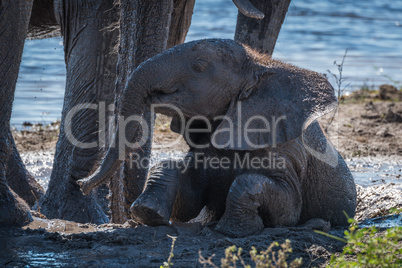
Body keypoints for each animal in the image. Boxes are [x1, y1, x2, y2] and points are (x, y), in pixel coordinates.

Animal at [80, 38, 356, 237]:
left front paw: (232, 231)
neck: (260, 65)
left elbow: (285, 208)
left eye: (199, 66)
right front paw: (147, 214)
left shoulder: (285, 151)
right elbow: (186, 200)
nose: (82, 184)